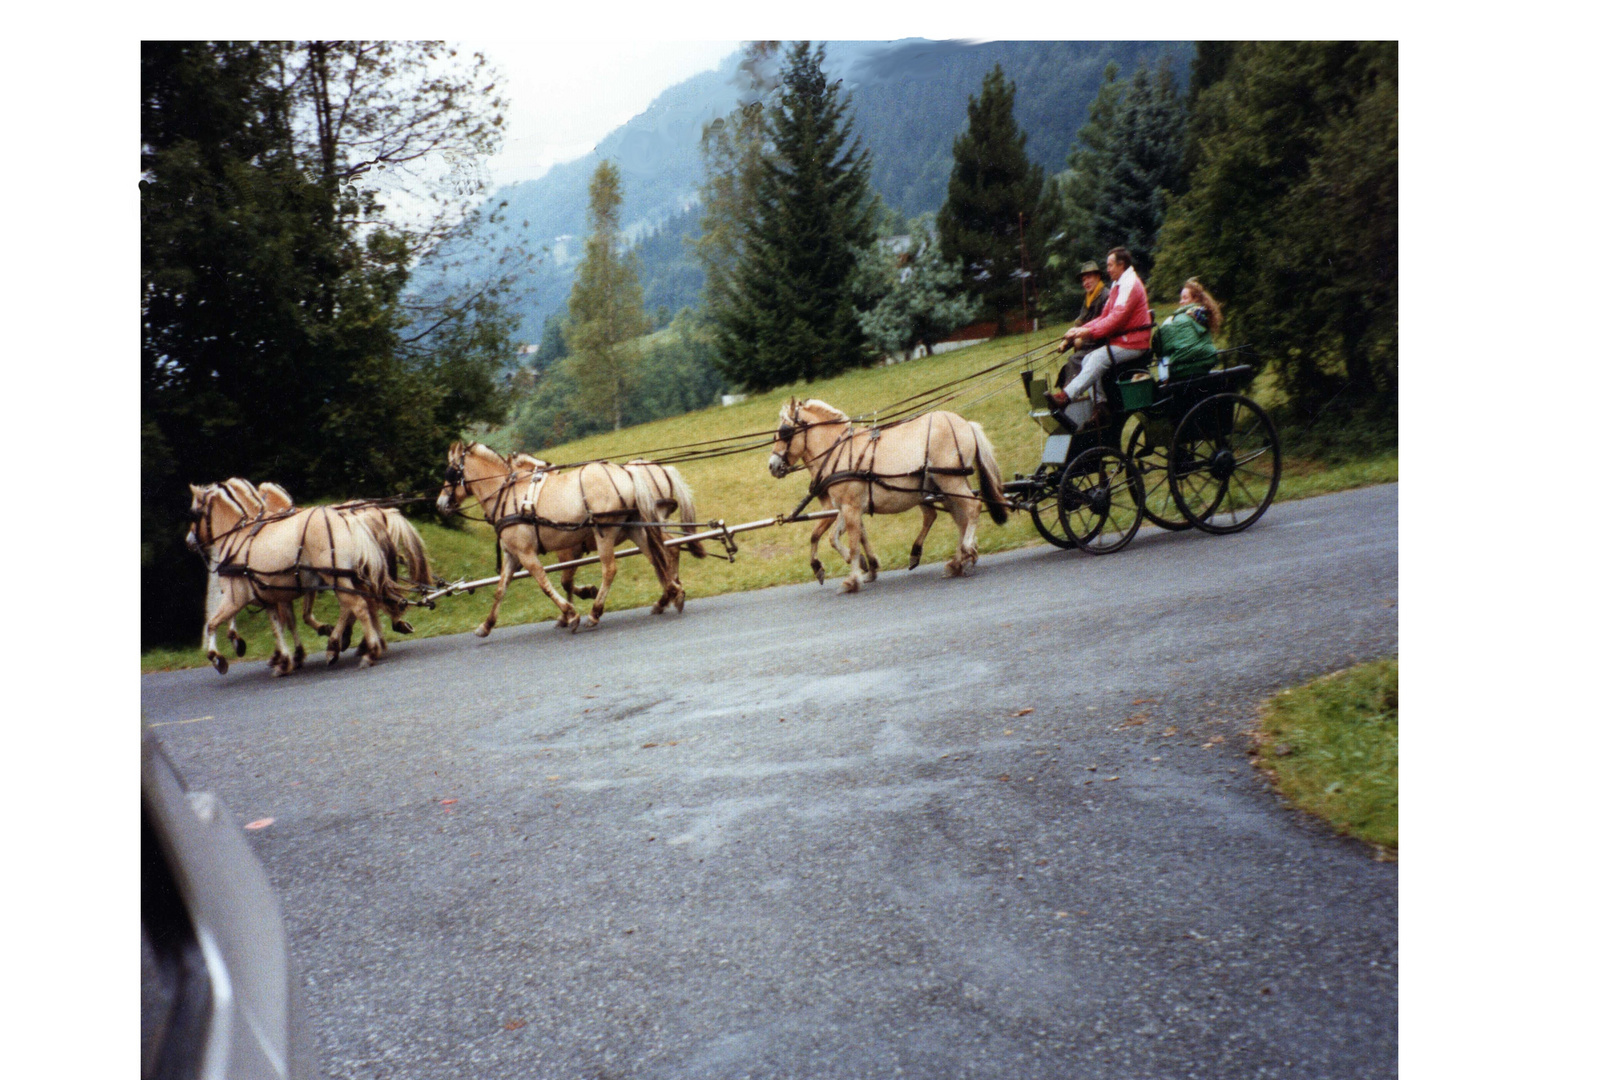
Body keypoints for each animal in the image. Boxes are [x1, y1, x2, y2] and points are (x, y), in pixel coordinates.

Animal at [188, 481, 406, 668]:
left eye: (194, 514)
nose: (189, 540)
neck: (238, 537)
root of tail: (347, 518)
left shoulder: (237, 598)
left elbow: (213, 623)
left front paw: (220, 653)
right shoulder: (271, 596)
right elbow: (281, 624)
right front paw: (286, 658)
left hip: (337, 577)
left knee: (358, 605)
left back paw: (365, 649)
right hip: (351, 576)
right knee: (367, 603)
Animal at [768, 395, 1007, 590]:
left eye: (784, 432)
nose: (772, 466)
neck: (838, 450)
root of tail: (966, 424)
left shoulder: (851, 506)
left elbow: (851, 542)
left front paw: (852, 579)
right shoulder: (846, 507)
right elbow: (830, 537)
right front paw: (851, 566)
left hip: (950, 481)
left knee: (973, 507)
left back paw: (965, 550)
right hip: (945, 486)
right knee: (959, 518)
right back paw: (958, 561)